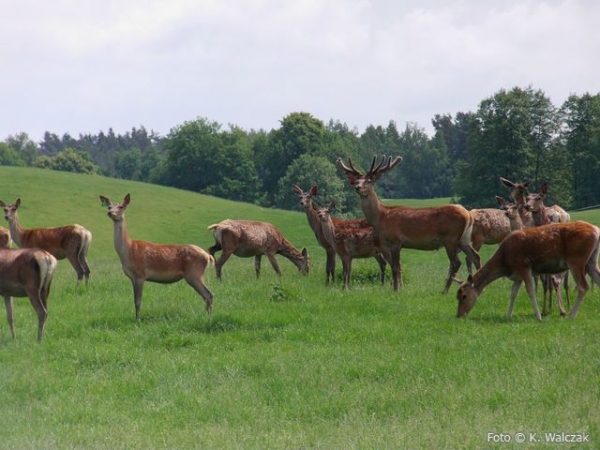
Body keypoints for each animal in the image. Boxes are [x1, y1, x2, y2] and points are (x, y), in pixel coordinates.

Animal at [338, 156, 482, 294]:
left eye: (369, 181)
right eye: (357, 181)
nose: (358, 188)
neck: (381, 217)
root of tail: (468, 214)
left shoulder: (395, 240)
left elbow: (395, 267)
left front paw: (396, 290)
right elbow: (397, 266)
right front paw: (398, 288)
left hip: (450, 238)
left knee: (456, 262)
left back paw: (445, 290)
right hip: (464, 239)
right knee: (475, 256)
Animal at [454, 221, 600, 320]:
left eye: (464, 296)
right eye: (457, 296)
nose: (459, 315)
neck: (505, 263)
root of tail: (597, 231)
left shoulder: (523, 266)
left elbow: (531, 291)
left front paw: (539, 317)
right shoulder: (517, 275)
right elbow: (513, 294)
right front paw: (508, 315)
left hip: (576, 260)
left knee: (583, 286)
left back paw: (571, 316)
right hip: (591, 262)